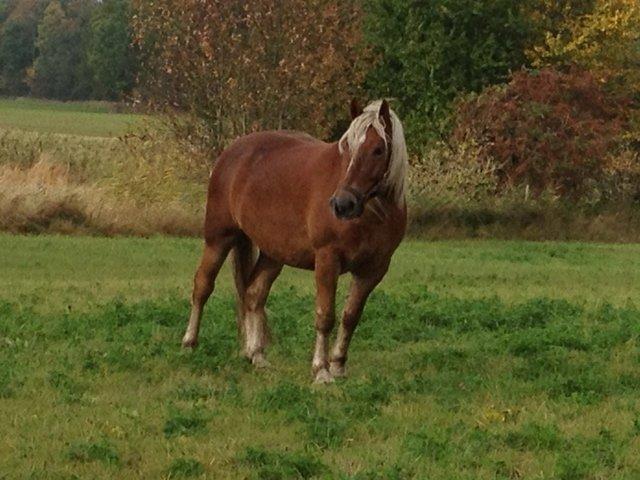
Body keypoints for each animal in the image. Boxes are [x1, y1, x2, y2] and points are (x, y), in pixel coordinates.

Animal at [182, 98, 408, 382]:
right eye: (346, 147)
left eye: (378, 150)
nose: (342, 204)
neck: (371, 214)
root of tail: (232, 152)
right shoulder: (327, 260)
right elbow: (325, 315)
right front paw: (321, 370)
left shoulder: (373, 270)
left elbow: (350, 316)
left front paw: (338, 365)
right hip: (219, 239)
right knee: (202, 286)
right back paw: (190, 344)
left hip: (273, 253)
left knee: (253, 294)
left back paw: (256, 354)